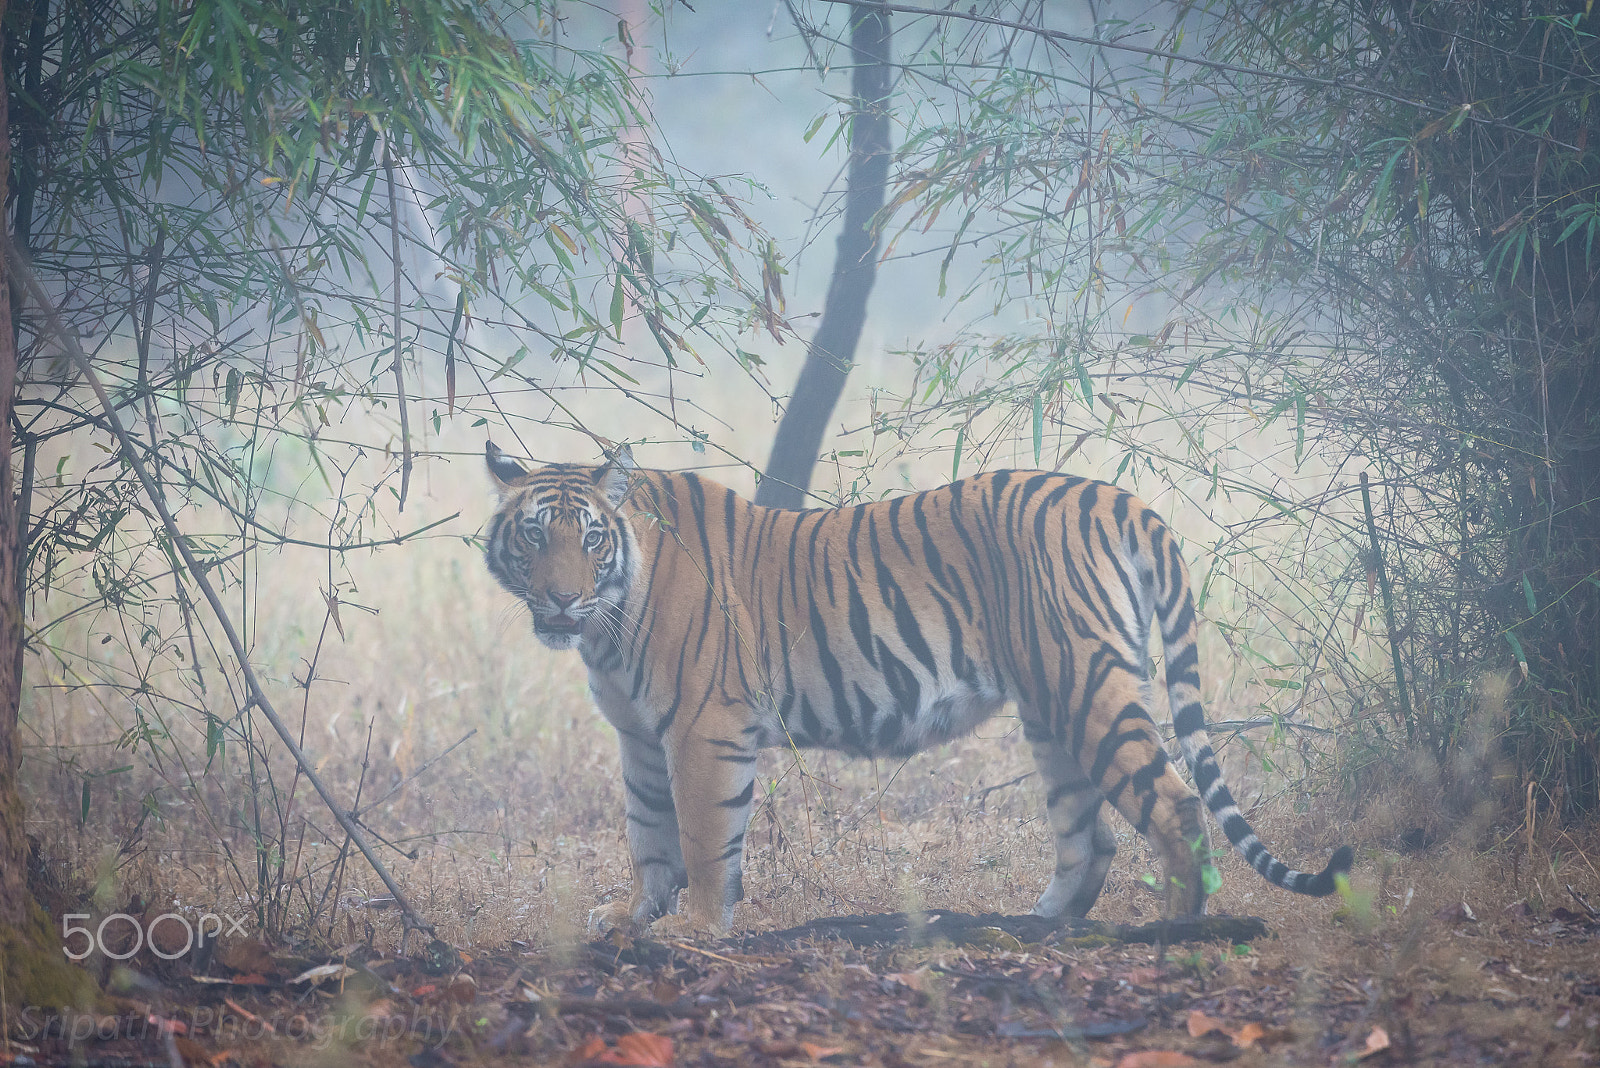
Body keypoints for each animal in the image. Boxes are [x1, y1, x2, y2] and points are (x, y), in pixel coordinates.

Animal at [483, 441, 1352, 934]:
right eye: (534, 535)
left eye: (591, 539)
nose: (560, 599)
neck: (608, 622)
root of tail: (1119, 496)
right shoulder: (638, 735)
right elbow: (647, 835)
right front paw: (629, 917)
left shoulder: (705, 730)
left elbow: (701, 839)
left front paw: (693, 929)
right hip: (1053, 707)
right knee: (1091, 835)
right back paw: (1036, 927)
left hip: (1086, 684)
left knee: (1173, 804)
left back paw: (1171, 934)